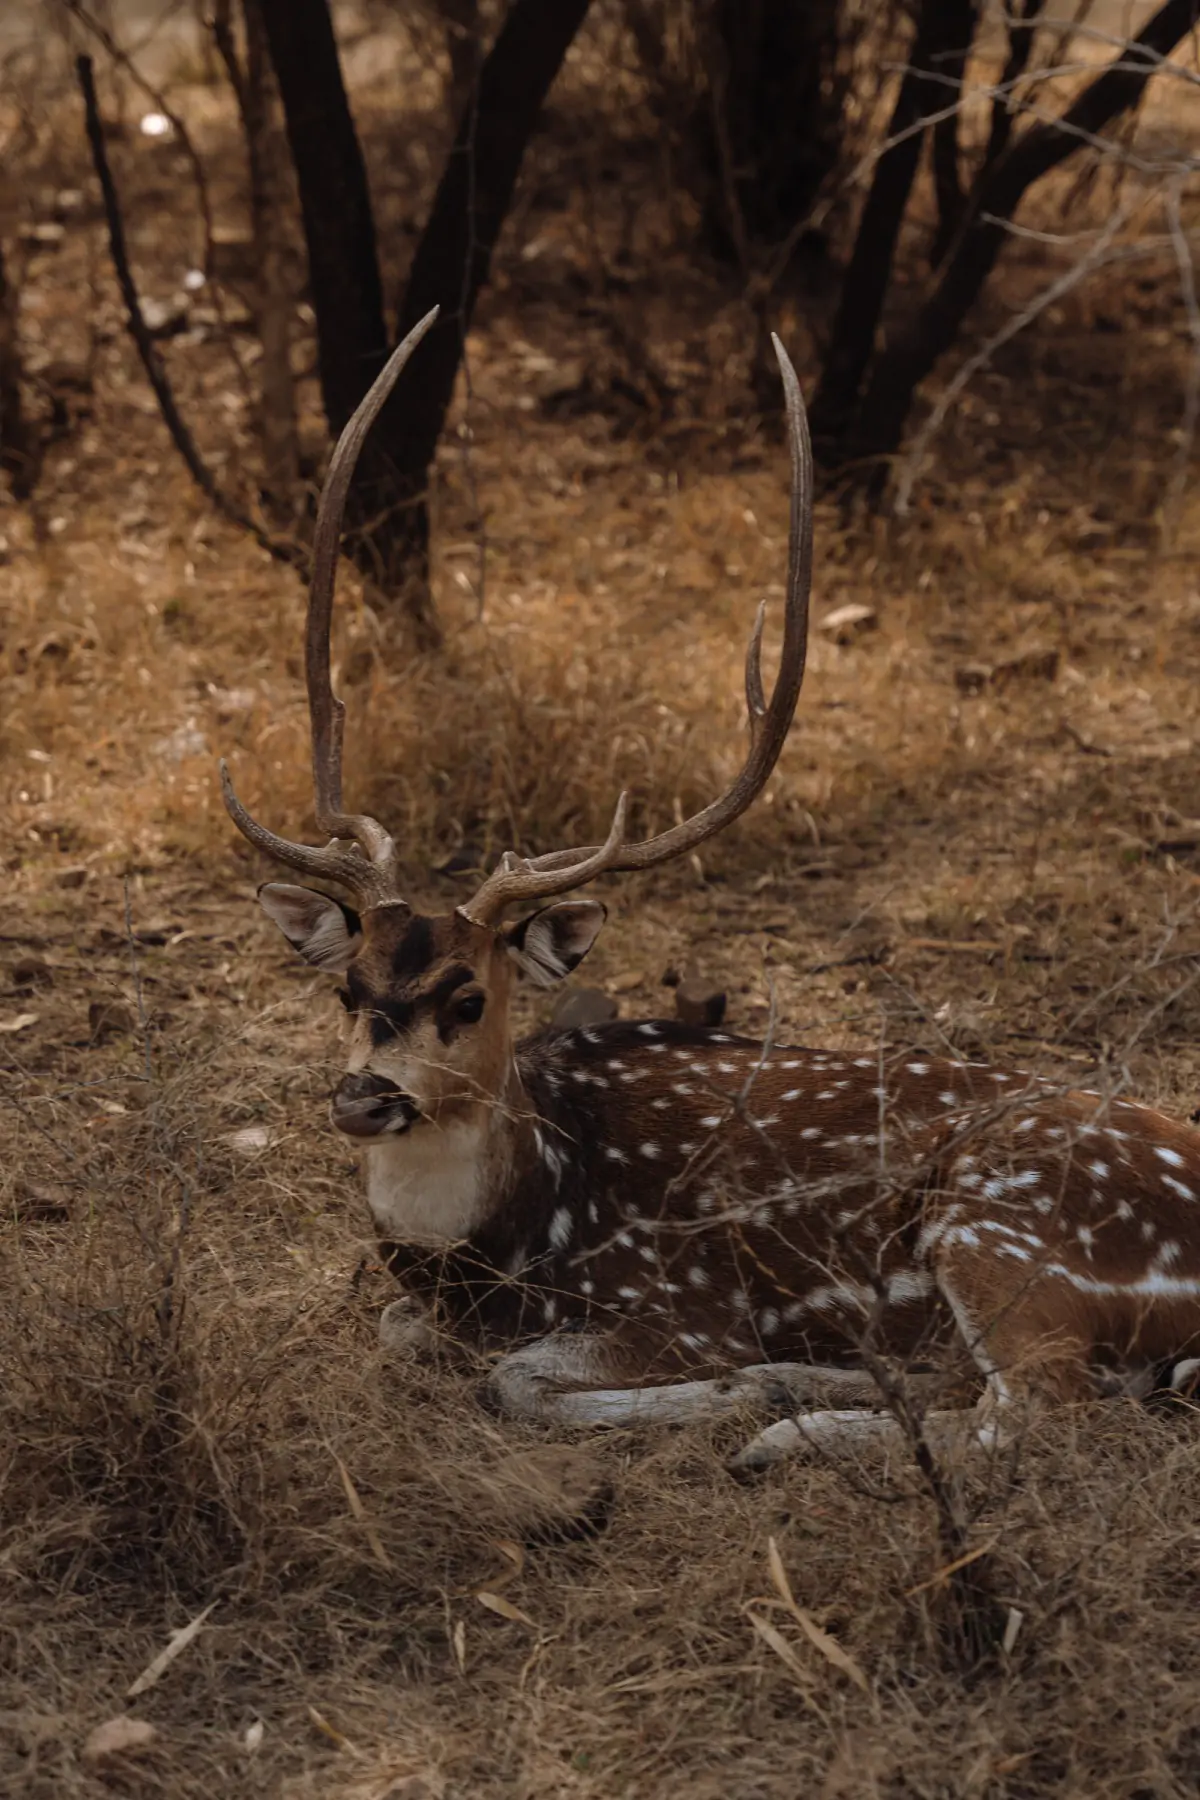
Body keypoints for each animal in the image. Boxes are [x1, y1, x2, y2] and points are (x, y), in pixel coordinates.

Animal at [223, 309, 1200, 1476]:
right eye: (347, 987)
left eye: (470, 995)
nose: (365, 1097)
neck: (514, 1235)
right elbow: (396, 1327)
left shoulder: (682, 1299)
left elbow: (514, 1380)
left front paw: (738, 1390)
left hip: (1001, 1226)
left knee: (1041, 1413)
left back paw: (784, 1428)